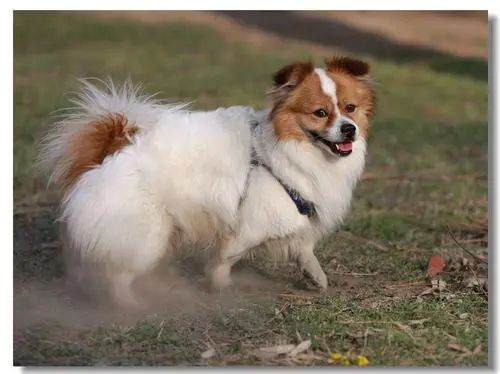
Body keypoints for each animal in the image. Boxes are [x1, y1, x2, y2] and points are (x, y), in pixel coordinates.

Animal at [37, 55, 376, 306]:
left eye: (350, 108)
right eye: (320, 113)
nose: (349, 129)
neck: (285, 146)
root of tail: (111, 148)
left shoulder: (295, 212)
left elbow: (304, 248)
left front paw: (315, 277)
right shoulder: (250, 221)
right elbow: (227, 257)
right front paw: (220, 284)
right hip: (146, 237)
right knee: (117, 277)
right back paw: (133, 305)